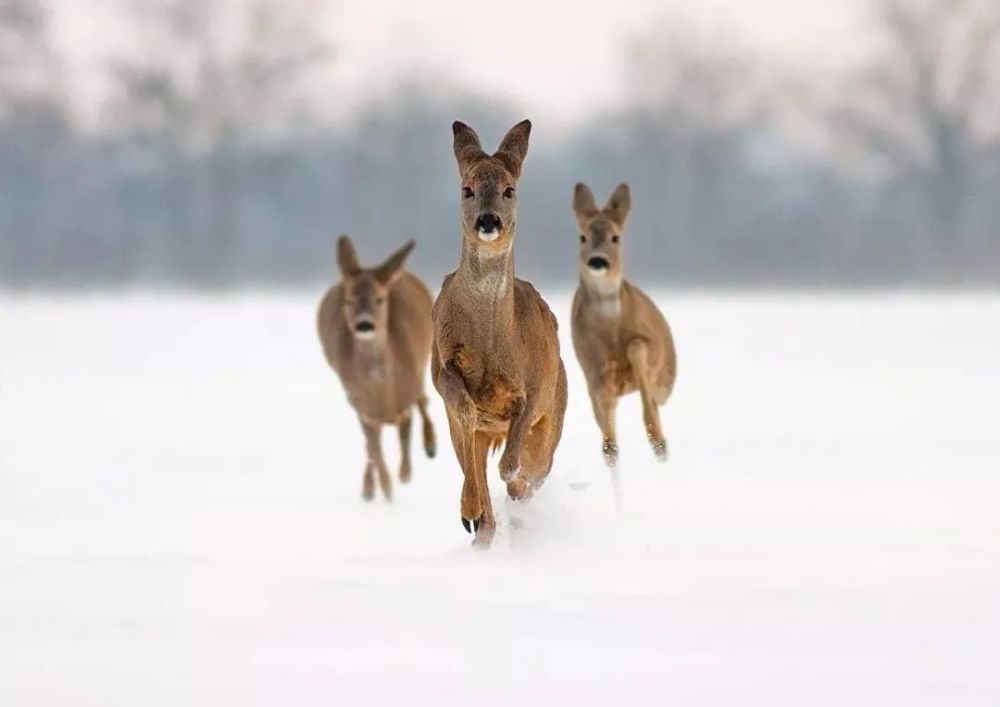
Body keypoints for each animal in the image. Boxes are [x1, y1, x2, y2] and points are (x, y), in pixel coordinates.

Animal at [316, 238, 434, 504]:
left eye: (380, 299)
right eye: (349, 300)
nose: (364, 324)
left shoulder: (405, 399)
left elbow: (405, 438)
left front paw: (404, 475)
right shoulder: (361, 407)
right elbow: (374, 449)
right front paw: (386, 491)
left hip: (424, 361)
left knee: (424, 399)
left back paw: (431, 446)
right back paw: (369, 489)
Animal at [432, 120, 568, 548]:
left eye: (510, 190)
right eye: (467, 189)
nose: (489, 221)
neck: (493, 340)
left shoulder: (536, 385)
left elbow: (512, 462)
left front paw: (514, 485)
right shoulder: (442, 366)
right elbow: (465, 410)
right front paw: (472, 512)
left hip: (555, 413)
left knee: (533, 469)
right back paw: (478, 524)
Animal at [572, 183, 680, 476]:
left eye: (615, 237)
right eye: (582, 237)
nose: (598, 261)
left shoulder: (651, 346)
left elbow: (636, 347)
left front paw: (658, 441)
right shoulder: (592, 374)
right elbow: (609, 442)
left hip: (667, 379)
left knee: (655, 400)